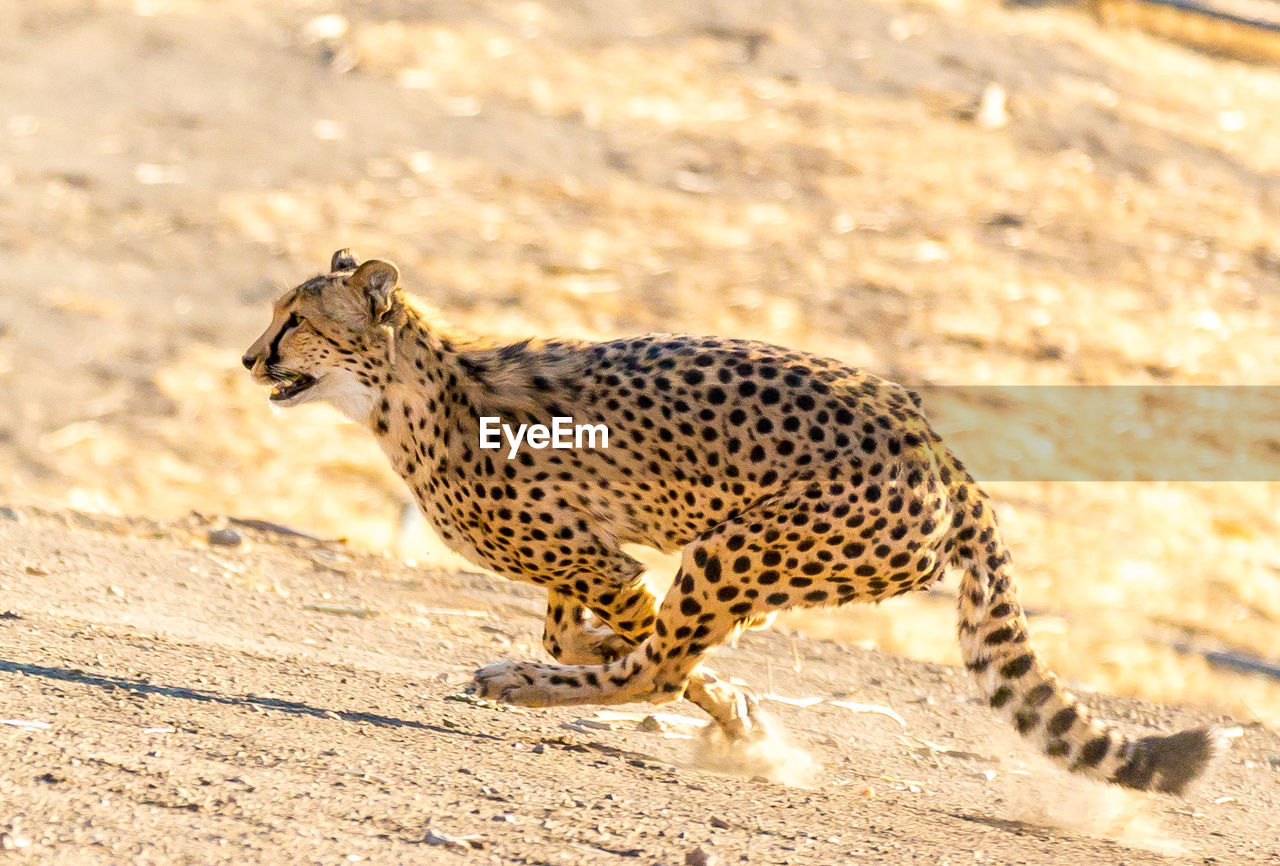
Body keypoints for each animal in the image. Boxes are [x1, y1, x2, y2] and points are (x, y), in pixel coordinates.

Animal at [244, 248, 1223, 787]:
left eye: (296, 319)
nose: (252, 358)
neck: (410, 393)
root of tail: (939, 449)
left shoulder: (604, 563)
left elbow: (645, 652)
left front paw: (723, 708)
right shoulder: (592, 557)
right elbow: (585, 632)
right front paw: (735, 707)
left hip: (736, 545)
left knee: (657, 669)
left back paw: (520, 685)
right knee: (660, 656)